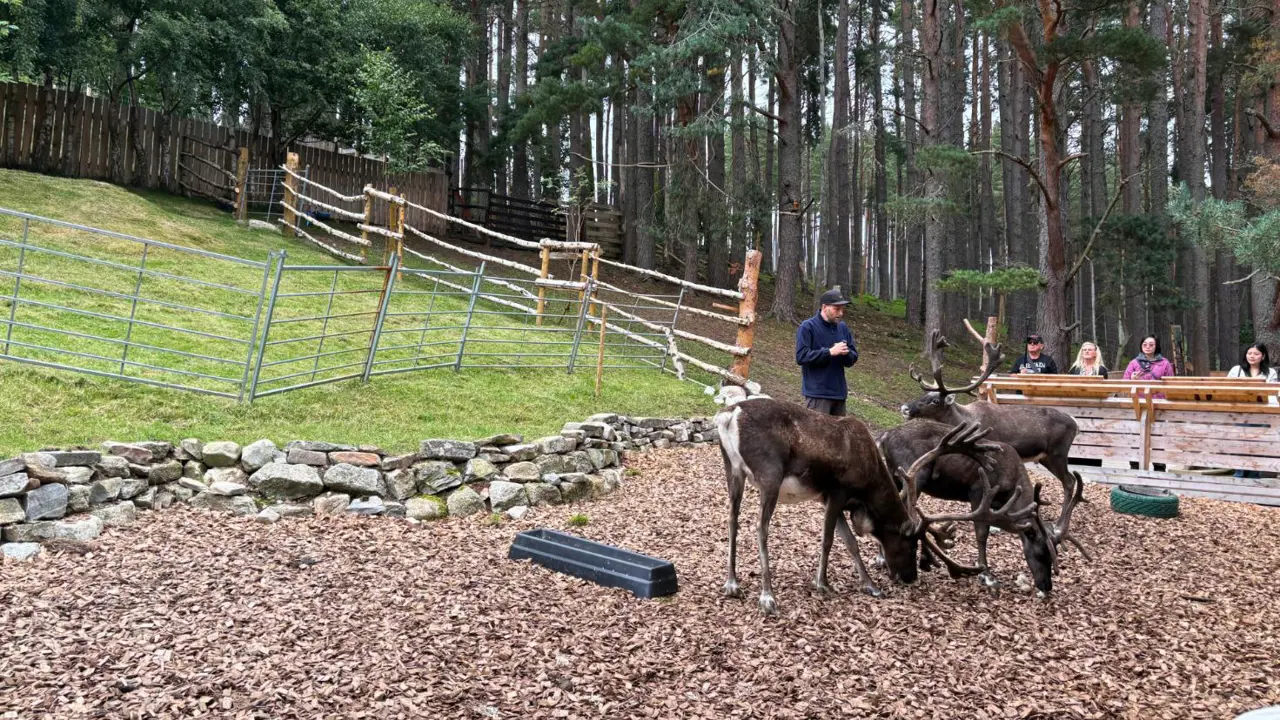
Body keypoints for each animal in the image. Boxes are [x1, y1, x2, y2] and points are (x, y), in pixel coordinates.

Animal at [714, 393, 1004, 615]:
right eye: (910, 544)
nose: (910, 577)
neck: (869, 486)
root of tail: (729, 415)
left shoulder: (831, 499)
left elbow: (851, 542)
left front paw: (871, 585)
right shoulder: (838, 491)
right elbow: (829, 539)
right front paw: (822, 583)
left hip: (733, 469)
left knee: (732, 520)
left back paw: (732, 584)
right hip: (769, 475)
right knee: (760, 528)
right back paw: (767, 596)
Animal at [879, 419, 1090, 596]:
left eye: (1056, 553)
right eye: (1040, 553)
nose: (1046, 586)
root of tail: (884, 436)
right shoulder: (978, 493)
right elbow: (982, 534)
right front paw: (986, 574)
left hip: (894, 474)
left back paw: (883, 558)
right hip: (915, 474)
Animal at [901, 330, 1082, 506]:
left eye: (935, 401)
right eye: (924, 394)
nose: (905, 408)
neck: (964, 420)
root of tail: (1075, 422)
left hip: (1058, 453)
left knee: (1069, 481)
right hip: (1046, 457)